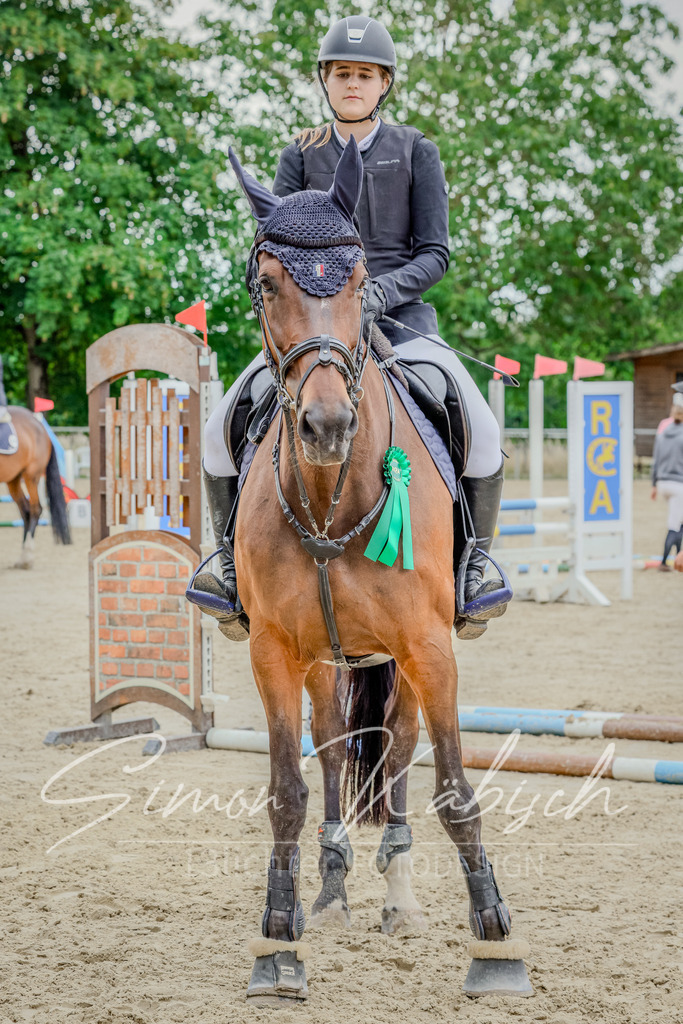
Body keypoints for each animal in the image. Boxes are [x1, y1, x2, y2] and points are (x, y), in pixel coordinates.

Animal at [0, 407, 71, 567]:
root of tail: (40, 426)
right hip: (14, 479)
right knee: (25, 510)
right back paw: (23, 558)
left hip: (31, 475)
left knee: (35, 509)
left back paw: (27, 556)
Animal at [224, 139, 531, 1002]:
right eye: (267, 283)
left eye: (362, 279)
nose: (327, 426)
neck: (333, 497)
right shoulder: (272, 652)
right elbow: (287, 793)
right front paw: (278, 939)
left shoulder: (428, 645)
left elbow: (453, 788)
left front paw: (494, 941)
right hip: (327, 658)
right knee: (335, 750)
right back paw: (332, 888)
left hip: (401, 657)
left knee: (395, 750)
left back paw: (397, 896)